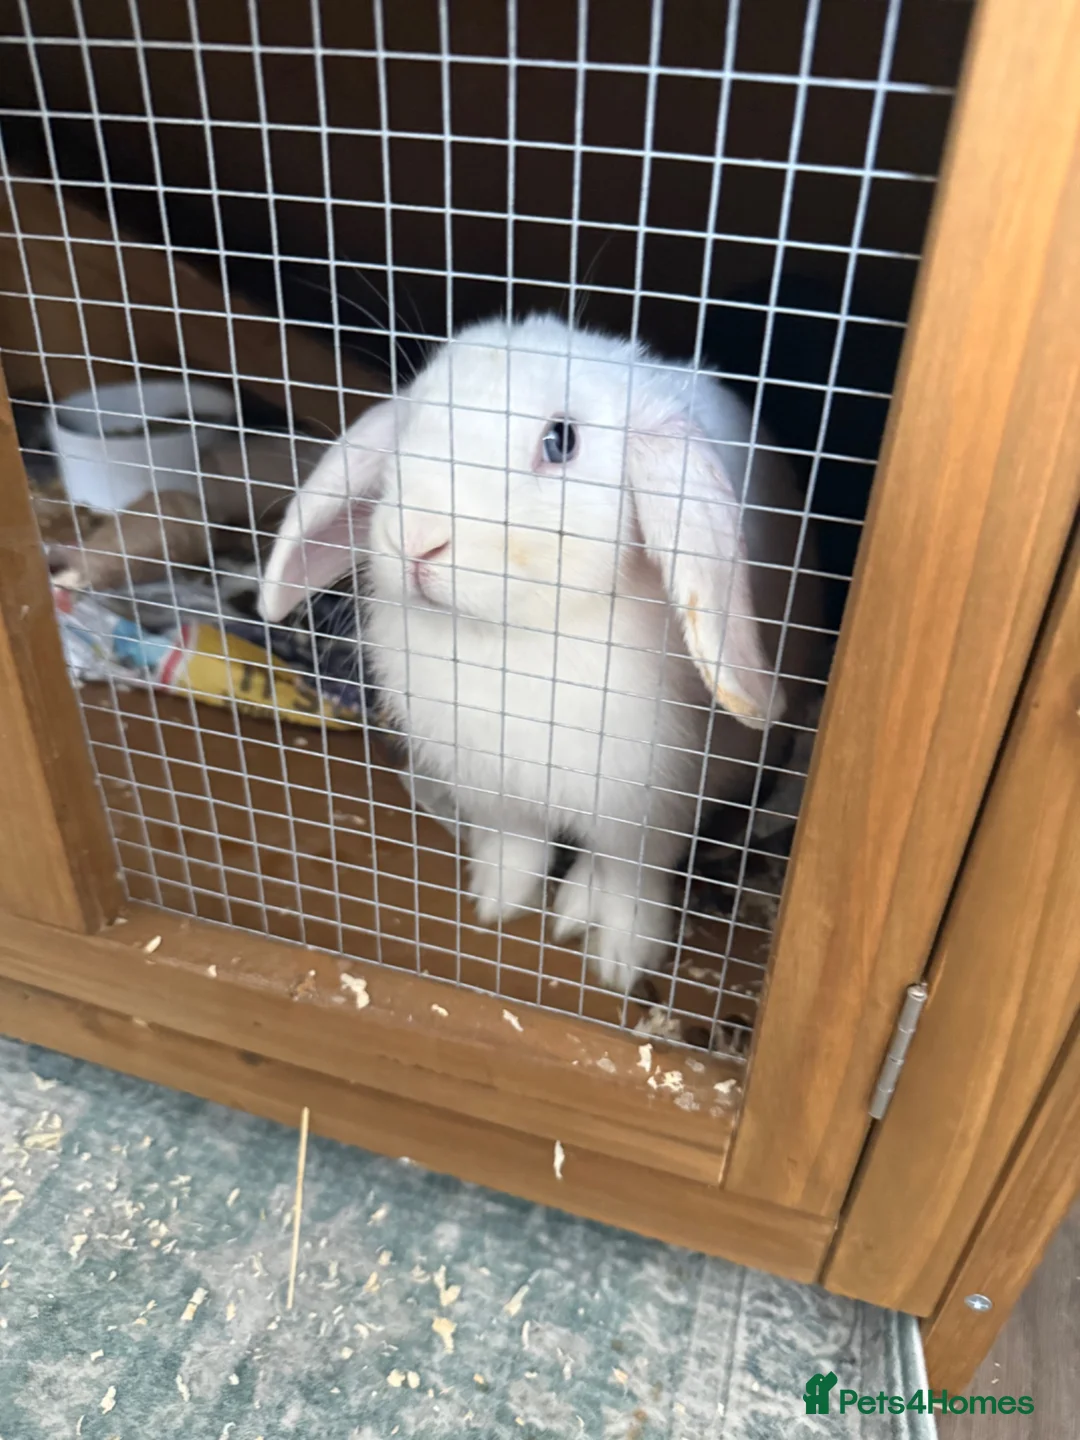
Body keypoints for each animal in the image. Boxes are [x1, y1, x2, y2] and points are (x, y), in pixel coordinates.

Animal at [260, 314, 824, 992]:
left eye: (560, 442)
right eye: (415, 419)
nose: (416, 538)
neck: (508, 637)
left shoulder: (646, 811)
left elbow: (629, 880)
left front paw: (620, 959)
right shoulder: (496, 792)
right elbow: (519, 848)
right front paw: (497, 903)